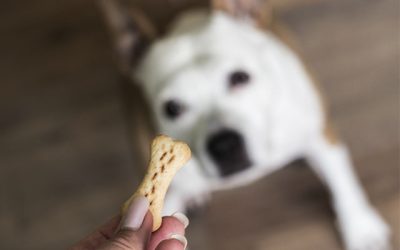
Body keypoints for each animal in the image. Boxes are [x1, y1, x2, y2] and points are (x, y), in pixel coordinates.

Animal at [99, 0, 390, 249]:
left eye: (240, 78)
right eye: (172, 108)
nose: (224, 145)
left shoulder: (321, 136)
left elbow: (342, 183)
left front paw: (361, 229)